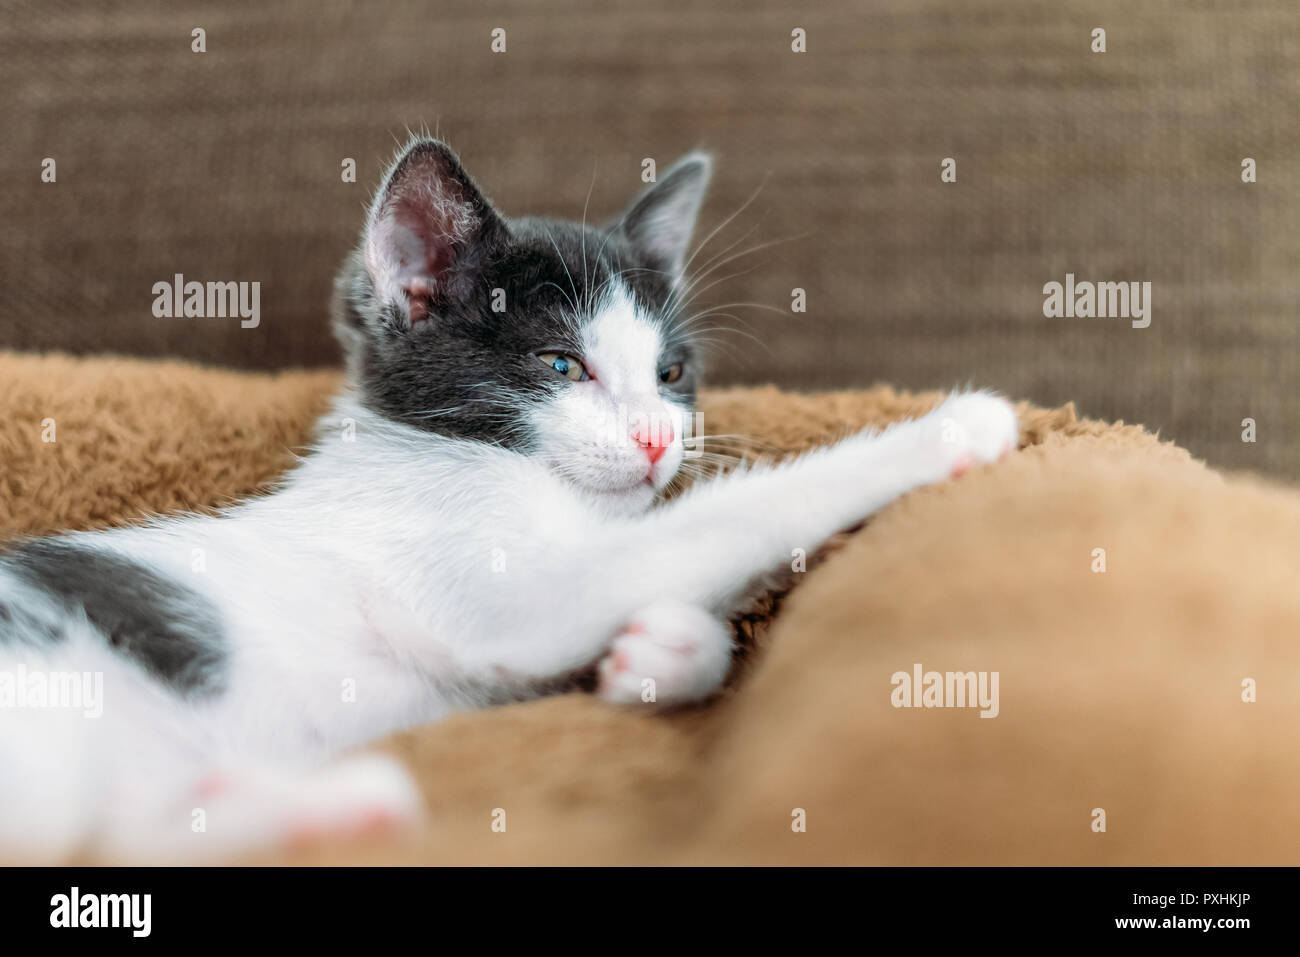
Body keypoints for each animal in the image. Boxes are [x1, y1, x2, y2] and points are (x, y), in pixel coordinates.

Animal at [0, 136, 1019, 858]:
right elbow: (725, 518)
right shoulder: (488, 586)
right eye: (561, 365)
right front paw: (950, 428)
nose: (657, 439)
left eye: (671, 373)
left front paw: (664, 650)